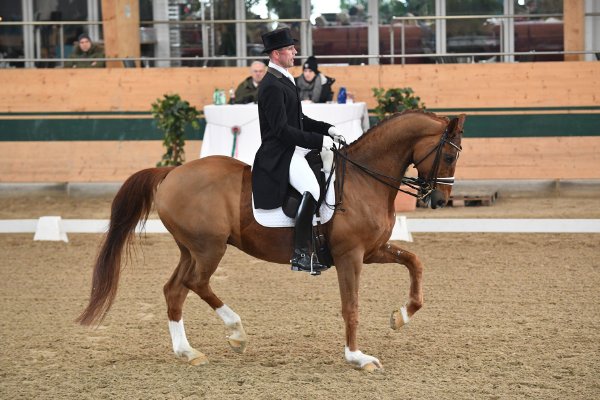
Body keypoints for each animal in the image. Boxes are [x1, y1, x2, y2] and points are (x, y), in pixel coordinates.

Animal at [77, 110, 466, 372]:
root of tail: (172, 172)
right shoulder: (350, 255)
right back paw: (236, 332)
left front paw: (402, 315)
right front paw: (358, 358)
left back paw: (189, 352)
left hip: (191, 249)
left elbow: (415, 262)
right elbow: (351, 306)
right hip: (209, 248)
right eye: (449, 155)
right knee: (195, 283)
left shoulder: (372, 251)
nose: (440, 199)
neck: (363, 179)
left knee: (175, 289)